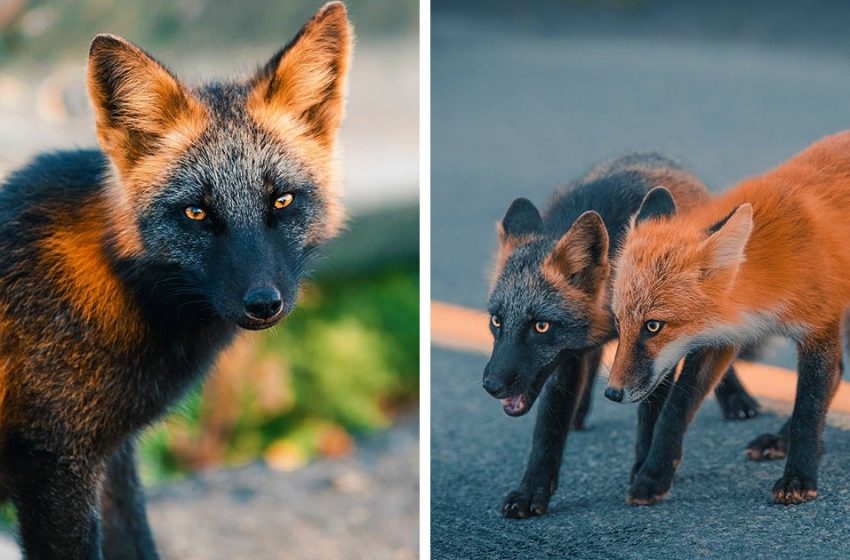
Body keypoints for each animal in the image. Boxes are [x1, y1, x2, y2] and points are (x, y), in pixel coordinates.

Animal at [0, 2, 350, 556]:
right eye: (196, 213)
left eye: (281, 200)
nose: (263, 304)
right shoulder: (52, 462)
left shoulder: (109, 456)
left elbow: (138, 542)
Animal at [480, 153, 760, 516]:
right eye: (497, 321)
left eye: (540, 326)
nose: (491, 385)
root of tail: (653, 157)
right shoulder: (568, 356)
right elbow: (547, 430)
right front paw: (532, 492)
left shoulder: (658, 351)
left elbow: (651, 415)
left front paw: (644, 471)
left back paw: (736, 398)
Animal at [608, 131, 850, 508]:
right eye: (618, 324)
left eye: (653, 326)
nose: (612, 393)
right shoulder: (722, 337)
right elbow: (674, 410)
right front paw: (653, 476)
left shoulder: (819, 327)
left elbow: (808, 410)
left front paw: (798, 477)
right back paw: (780, 440)